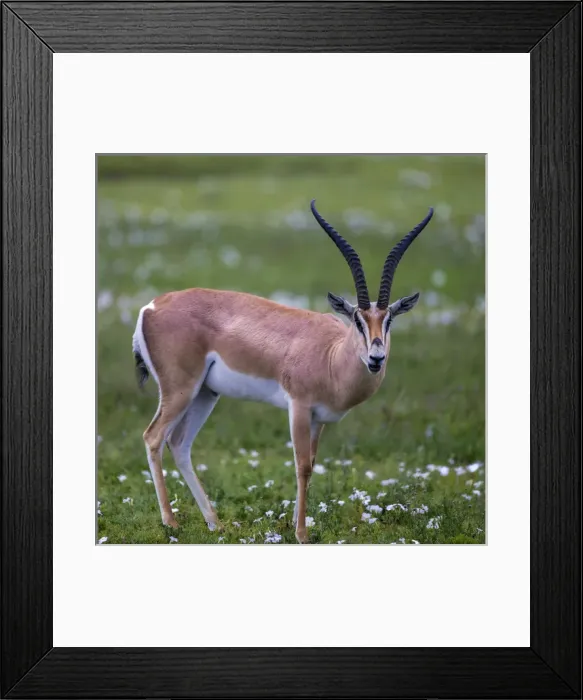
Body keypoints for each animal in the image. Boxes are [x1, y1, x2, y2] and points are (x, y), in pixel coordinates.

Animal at [132, 200, 433, 543]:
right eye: (357, 320)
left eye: (389, 320)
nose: (376, 358)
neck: (331, 357)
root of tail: (151, 307)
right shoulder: (299, 408)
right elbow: (302, 465)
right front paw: (301, 533)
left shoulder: (319, 419)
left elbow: (312, 464)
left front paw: (293, 524)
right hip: (180, 389)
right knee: (154, 437)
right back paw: (171, 523)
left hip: (205, 393)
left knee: (180, 443)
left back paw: (215, 523)